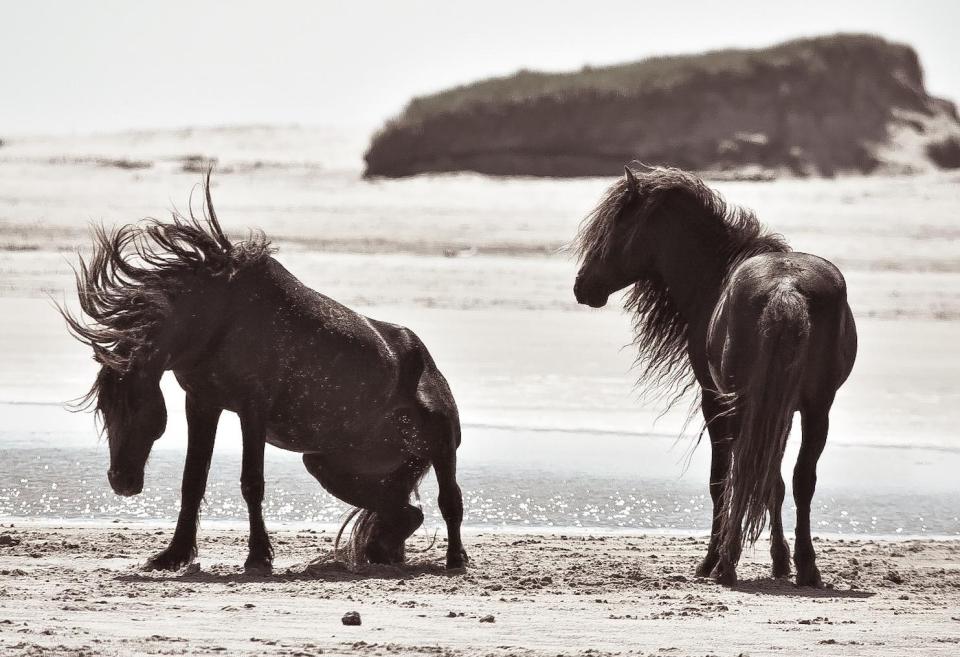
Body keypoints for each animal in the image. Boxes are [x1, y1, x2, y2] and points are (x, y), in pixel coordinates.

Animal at [62, 177, 466, 572]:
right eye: (105, 410)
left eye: (136, 406)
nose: (121, 482)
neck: (217, 317)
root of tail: (428, 365)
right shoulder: (202, 403)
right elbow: (192, 481)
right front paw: (172, 555)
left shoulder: (252, 408)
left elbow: (252, 482)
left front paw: (258, 556)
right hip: (329, 465)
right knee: (404, 512)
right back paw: (383, 552)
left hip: (440, 443)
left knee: (450, 501)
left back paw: (455, 559)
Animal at [572, 164, 860, 584]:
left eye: (616, 226)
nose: (582, 286)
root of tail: (786, 289)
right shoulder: (781, 410)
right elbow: (772, 480)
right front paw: (780, 560)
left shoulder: (715, 399)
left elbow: (721, 479)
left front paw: (711, 561)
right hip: (815, 408)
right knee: (800, 478)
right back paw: (806, 568)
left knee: (740, 475)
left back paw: (725, 563)